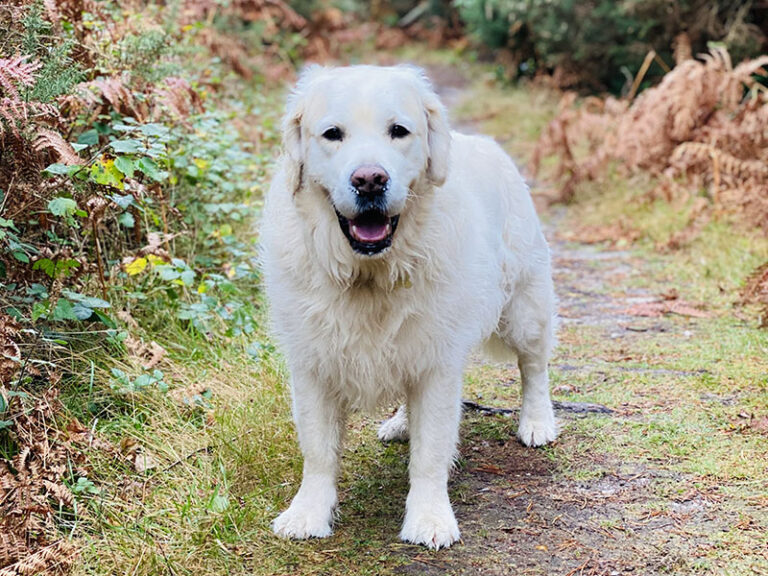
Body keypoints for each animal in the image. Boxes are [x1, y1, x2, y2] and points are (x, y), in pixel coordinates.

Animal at [260, 65, 556, 552]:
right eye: (332, 134)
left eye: (398, 131)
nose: (369, 180)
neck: (370, 274)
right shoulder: (312, 364)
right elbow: (318, 451)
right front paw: (308, 513)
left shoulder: (437, 363)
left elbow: (430, 454)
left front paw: (429, 518)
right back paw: (401, 423)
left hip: (524, 310)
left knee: (535, 368)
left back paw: (537, 422)